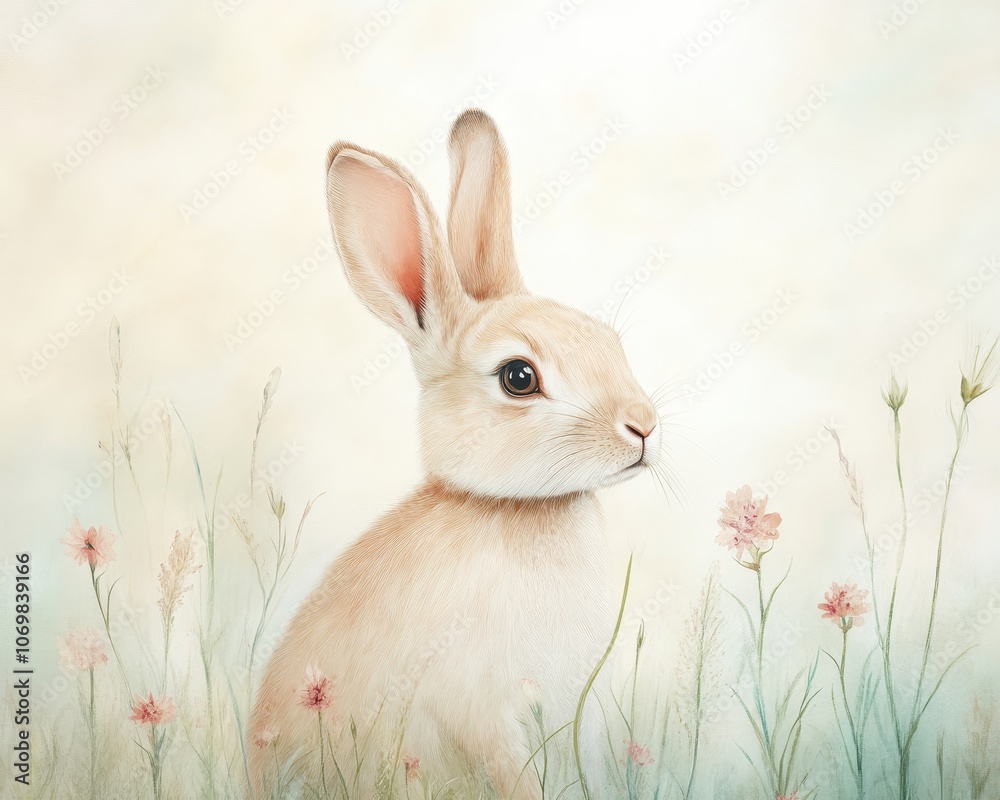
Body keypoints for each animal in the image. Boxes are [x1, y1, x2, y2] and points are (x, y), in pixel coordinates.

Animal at [248, 109, 661, 800]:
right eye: (519, 378)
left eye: (608, 339)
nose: (645, 427)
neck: (513, 507)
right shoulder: (483, 709)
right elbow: (516, 775)